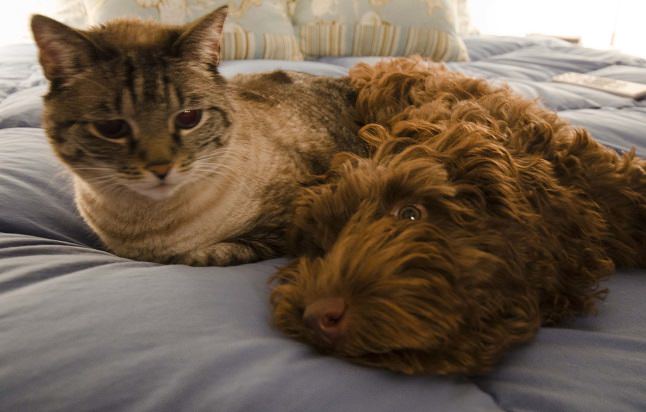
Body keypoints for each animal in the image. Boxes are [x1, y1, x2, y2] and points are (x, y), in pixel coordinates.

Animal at [33, 7, 368, 268]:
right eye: (113, 128)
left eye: (188, 118)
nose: (161, 169)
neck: (146, 228)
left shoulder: (290, 220)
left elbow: (214, 253)